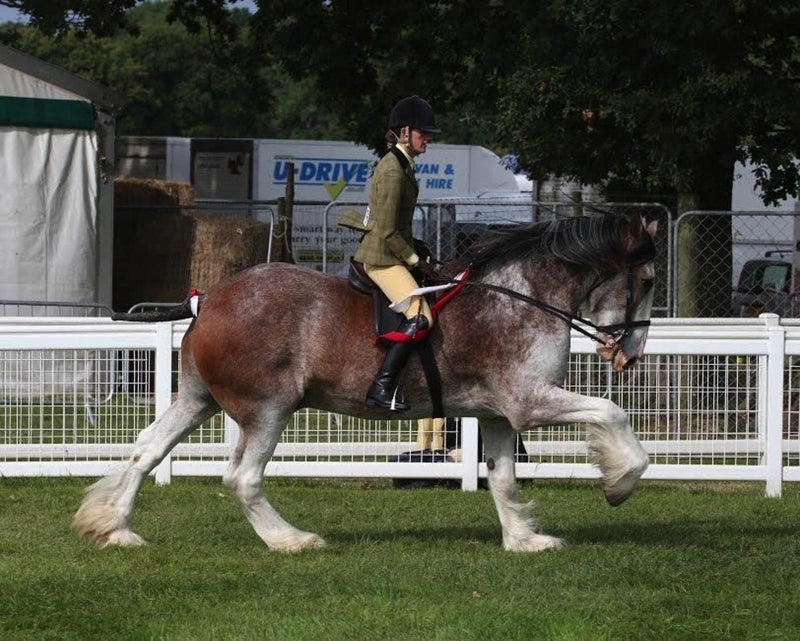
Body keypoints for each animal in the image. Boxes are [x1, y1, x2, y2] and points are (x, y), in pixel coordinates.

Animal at [73, 212, 658, 552]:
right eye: (649, 280)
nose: (629, 356)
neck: (521, 296)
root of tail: (211, 298)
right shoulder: (531, 404)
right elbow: (612, 412)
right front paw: (620, 483)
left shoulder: (496, 415)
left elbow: (504, 480)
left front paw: (523, 541)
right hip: (268, 410)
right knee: (242, 478)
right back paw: (290, 540)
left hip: (198, 401)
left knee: (146, 451)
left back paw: (115, 528)